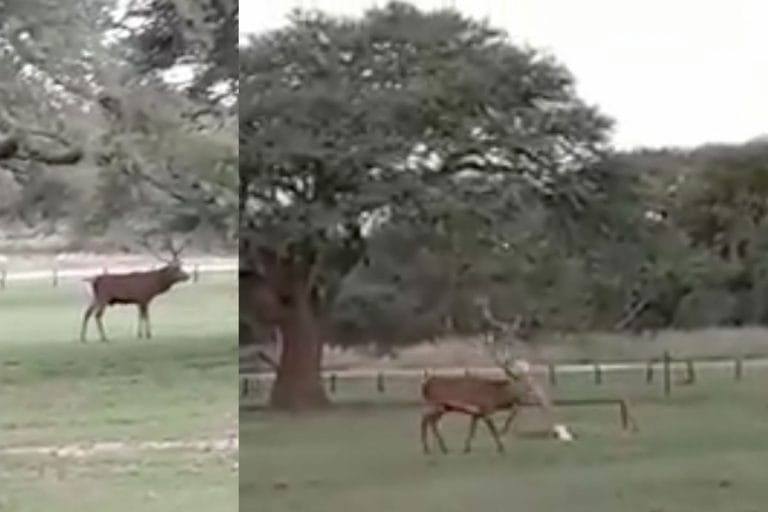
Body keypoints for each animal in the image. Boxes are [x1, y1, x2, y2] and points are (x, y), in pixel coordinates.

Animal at [420, 297, 573, 455]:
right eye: (524, 382)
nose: (535, 392)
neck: (497, 396)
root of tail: (425, 385)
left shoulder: (477, 413)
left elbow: (472, 429)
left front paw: (467, 448)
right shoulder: (485, 408)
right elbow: (492, 428)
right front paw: (501, 447)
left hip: (443, 406)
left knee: (429, 420)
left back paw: (438, 448)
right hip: (436, 404)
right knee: (426, 420)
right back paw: (433, 448)